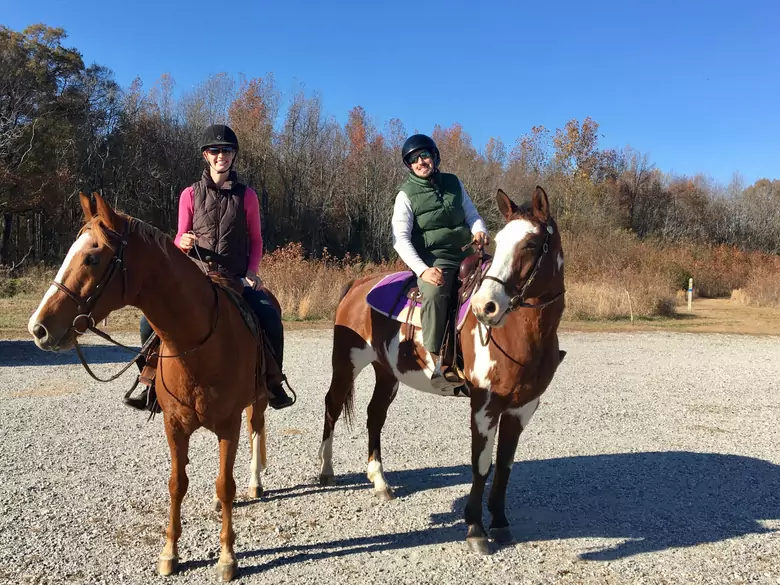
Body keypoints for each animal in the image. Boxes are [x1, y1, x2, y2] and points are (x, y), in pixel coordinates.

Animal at [28, 193, 270, 581]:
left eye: (92, 257)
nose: (38, 328)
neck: (199, 344)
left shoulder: (228, 425)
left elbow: (225, 484)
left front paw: (227, 557)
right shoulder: (174, 426)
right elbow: (177, 484)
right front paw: (170, 552)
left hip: (258, 400)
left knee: (256, 429)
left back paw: (255, 481)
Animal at [318, 186, 565, 554]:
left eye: (531, 243)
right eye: (500, 240)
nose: (484, 308)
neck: (522, 334)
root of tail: (359, 285)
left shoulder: (522, 408)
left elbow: (505, 466)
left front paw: (500, 523)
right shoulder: (484, 405)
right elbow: (482, 464)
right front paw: (476, 528)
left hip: (386, 371)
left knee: (374, 416)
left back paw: (380, 481)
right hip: (346, 362)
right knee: (332, 406)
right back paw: (326, 469)